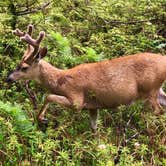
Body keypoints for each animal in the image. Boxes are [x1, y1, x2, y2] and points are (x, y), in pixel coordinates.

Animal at [6, 24, 166, 132]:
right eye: (18, 63)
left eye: (24, 67)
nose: (8, 78)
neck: (60, 81)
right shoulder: (93, 107)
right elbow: (94, 129)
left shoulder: (77, 99)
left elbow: (49, 96)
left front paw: (42, 118)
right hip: (158, 90)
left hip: (150, 88)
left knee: (158, 111)